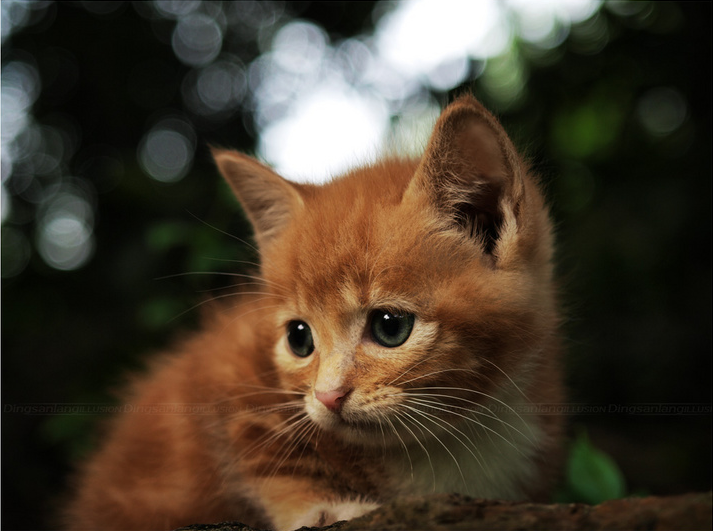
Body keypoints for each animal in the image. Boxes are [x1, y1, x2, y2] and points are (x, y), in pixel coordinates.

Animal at [65, 96, 560, 531]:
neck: (450, 440)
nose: (327, 397)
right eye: (299, 338)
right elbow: (262, 452)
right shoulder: (219, 372)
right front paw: (324, 507)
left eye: (390, 327)